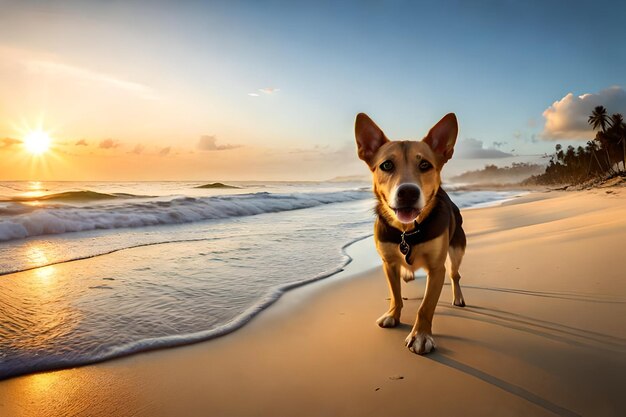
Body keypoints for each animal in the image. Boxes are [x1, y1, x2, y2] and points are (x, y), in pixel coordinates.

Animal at [352, 112, 464, 352]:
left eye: (425, 164)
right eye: (386, 165)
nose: (408, 192)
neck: (407, 231)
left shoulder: (437, 269)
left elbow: (426, 307)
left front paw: (420, 335)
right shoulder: (388, 264)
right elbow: (395, 294)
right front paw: (393, 315)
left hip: (458, 249)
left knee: (455, 274)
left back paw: (458, 297)